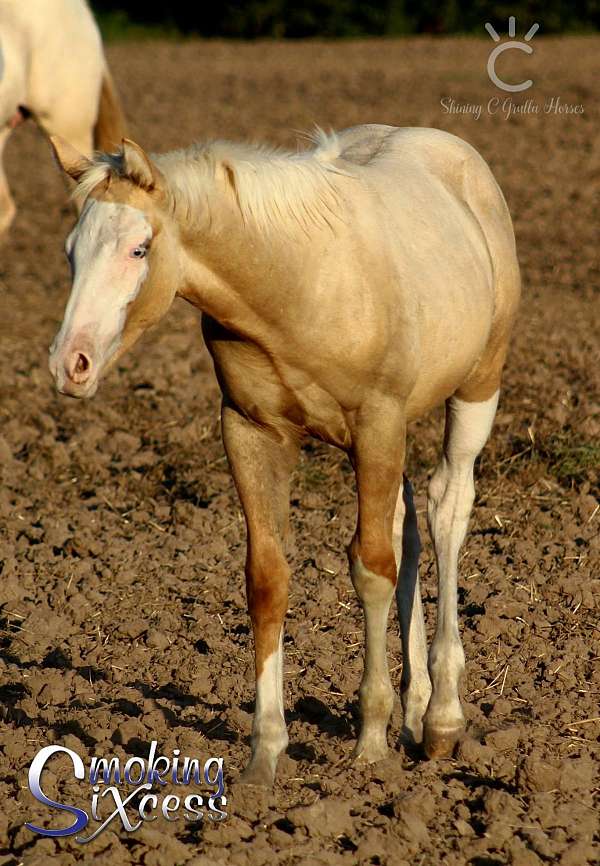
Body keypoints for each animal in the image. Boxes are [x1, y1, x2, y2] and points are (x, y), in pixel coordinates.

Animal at [48, 125, 520, 788]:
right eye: (71, 251)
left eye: (139, 249)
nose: (70, 365)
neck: (297, 284)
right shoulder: (250, 432)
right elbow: (268, 580)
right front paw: (265, 754)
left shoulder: (376, 425)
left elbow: (371, 568)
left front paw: (370, 740)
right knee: (407, 523)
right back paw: (417, 707)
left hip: (476, 388)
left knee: (448, 511)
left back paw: (443, 719)